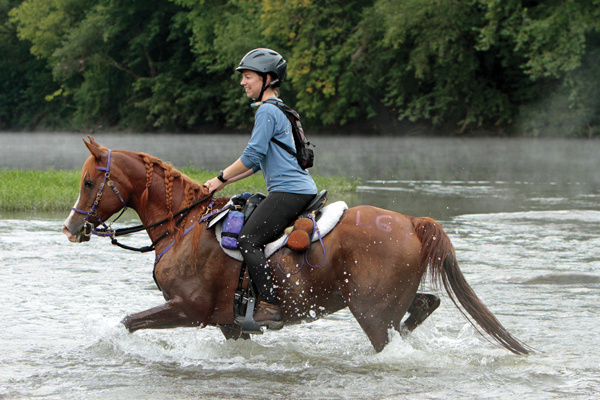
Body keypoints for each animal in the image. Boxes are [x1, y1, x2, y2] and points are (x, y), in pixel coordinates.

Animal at [62, 137, 536, 354]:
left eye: (88, 182)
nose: (70, 228)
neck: (184, 225)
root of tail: (412, 222)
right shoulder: (230, 324)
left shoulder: (188, 310)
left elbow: (128, 322)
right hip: (390, 301)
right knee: (423, 305)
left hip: (371, 312)